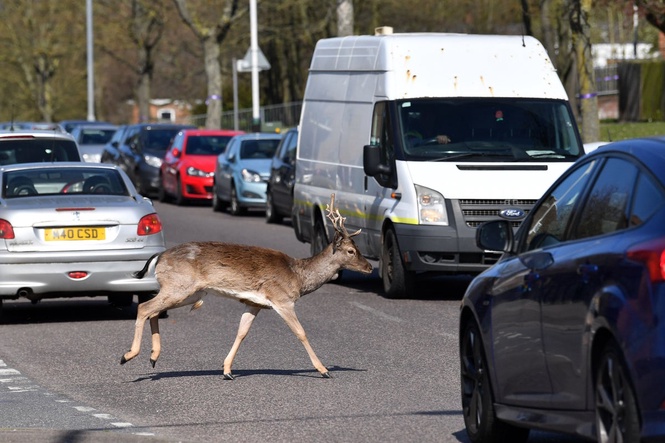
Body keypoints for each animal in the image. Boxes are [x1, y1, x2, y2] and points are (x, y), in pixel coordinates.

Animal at [120, 193, 372, 379]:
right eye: (351, 250)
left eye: (359, 248)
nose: (369, 266)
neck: (298, 277)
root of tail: (159, 256)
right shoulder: (282, 299)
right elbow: (301, 332)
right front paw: (323, 369)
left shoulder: (254, 303)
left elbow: (242, 332)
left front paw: (227, 370)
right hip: (180, 286)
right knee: (144, 307)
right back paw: (128, 355)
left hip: (188, 292)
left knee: (153, 310)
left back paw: (153, 357)